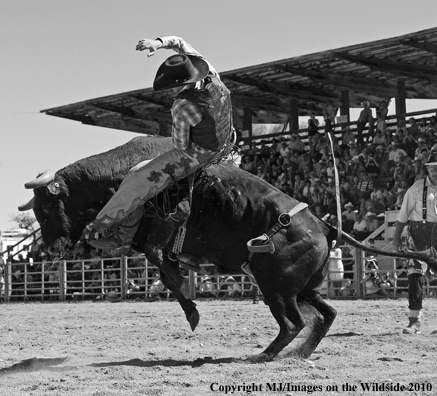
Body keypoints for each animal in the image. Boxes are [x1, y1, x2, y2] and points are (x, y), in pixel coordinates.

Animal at [20, 136, 437, 362]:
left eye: (47, 207)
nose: (52, 249)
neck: (121, 177)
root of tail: (325, 226)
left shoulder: (159, 234)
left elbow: (165, 272)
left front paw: (191, 312)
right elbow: (166, 271)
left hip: (274, 284)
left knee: (293, 322)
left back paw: (266, 354)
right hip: (301, 287)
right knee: (325, 314)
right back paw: (299, 354)